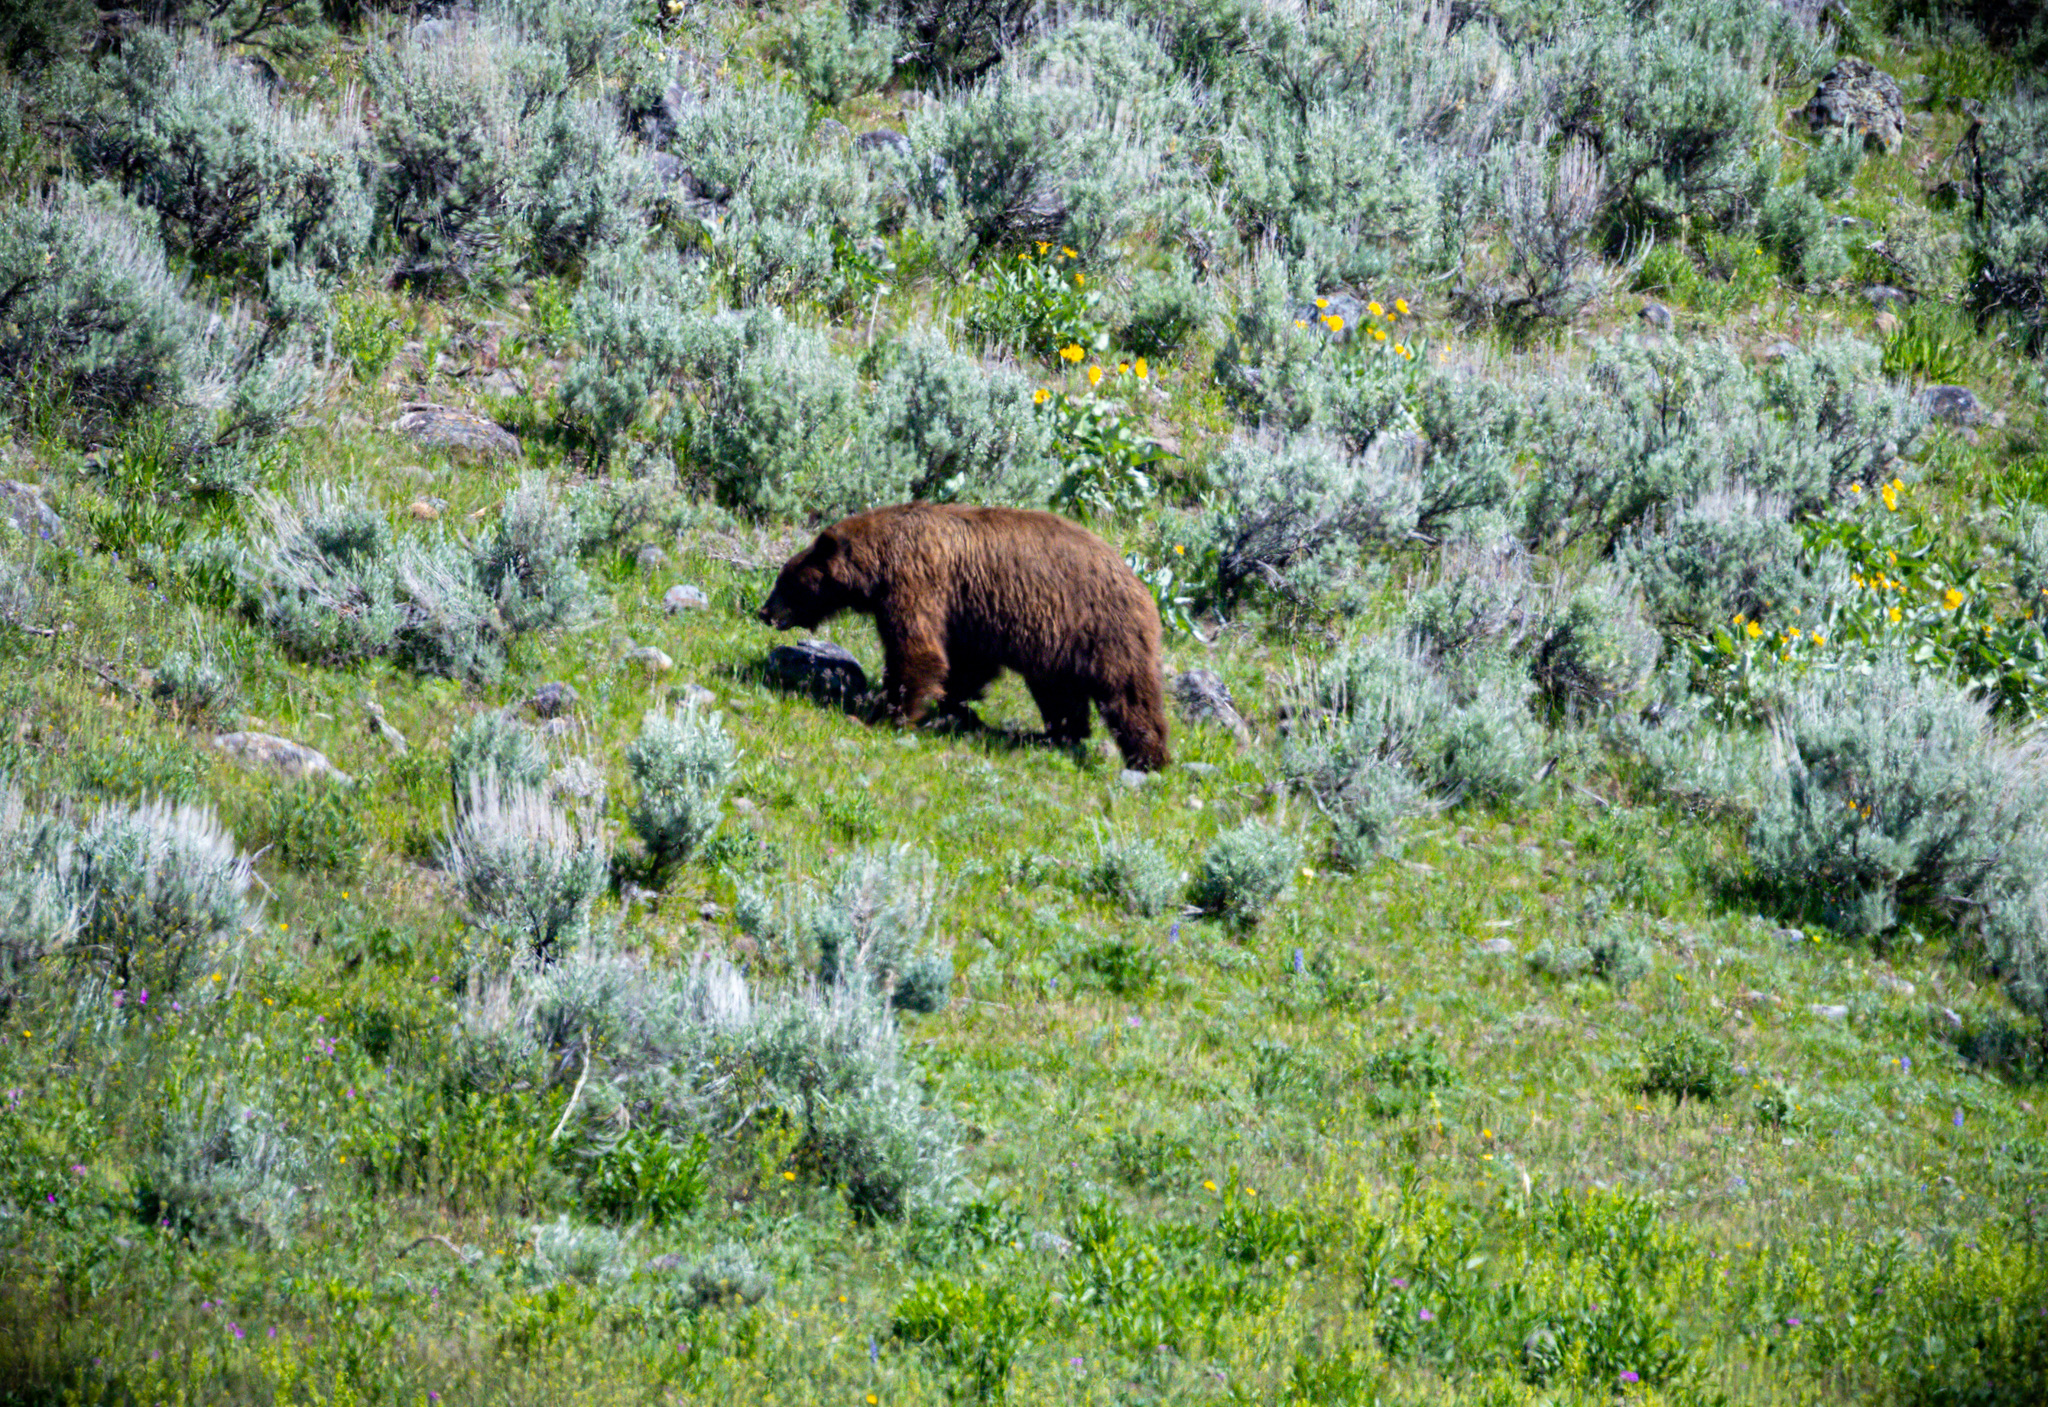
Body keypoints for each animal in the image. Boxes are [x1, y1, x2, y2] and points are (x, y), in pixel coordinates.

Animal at [758, 503, 1172, 770]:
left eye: (785, 582)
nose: (764, 612)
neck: (879, 562)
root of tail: (1144, 587)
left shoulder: (917, 581)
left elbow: (918, 652)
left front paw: (887, 713)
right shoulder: (971, 614)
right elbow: (966, 665)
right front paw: (952, 708)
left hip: (1104, 631)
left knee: (1130, 696)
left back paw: (1149, 758)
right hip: (1058, 647)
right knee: (1060, 694)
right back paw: (1053, 736)